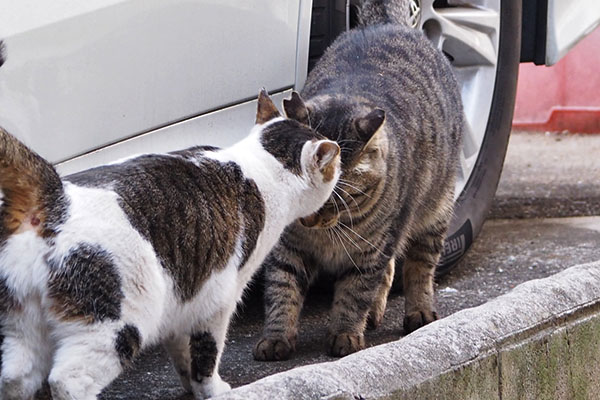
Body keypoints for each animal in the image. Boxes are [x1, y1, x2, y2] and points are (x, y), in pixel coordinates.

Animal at [0, 62, 342, 400]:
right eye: (334, 168)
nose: (339, 164)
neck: (259, 167)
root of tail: (55, 197)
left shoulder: (185, 296)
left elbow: (182, 352)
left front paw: (190, 385)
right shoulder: (218, 298)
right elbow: (207, 353)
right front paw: (212, 389)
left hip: (23, 326)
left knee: (16, 377)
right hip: (116, 322)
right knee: (67, 379)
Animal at [253, 0, 464, 360]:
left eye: (335, 194)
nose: (309, 219)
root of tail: (386, 23)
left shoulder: (370, 252)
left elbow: (354, 294)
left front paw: (345, 334)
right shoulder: (288, 249)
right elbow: (283, 291)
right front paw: (277, 337)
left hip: (434, 215)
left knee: (419, 266)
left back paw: (419, 311)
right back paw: (376, 314)